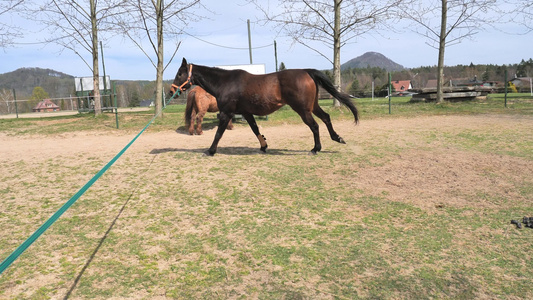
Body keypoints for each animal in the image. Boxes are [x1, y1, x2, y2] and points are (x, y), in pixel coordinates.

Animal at [170, 59, 358, 157]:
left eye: (179, 73)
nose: (172, 90)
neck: (225, 82)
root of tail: (306, 71)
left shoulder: (226, 113)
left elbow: (219, 133)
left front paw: (210, 150)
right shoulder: (246, 113)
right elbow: (255, 129)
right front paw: (264, 145)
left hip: (303, 109)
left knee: (315, 126)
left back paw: (315, 148)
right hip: (312, 106)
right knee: (326, 118)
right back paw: (337, 138)